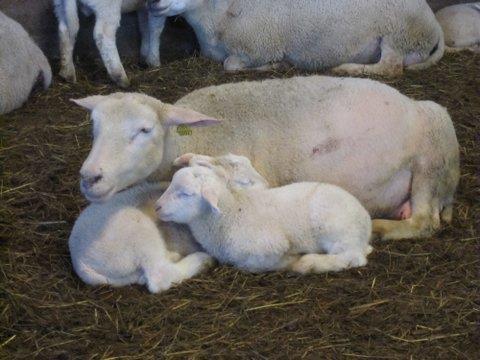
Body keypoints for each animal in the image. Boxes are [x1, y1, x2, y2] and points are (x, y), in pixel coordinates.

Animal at [69, 153, 264, 292]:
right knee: (160, 276)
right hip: (138, 232)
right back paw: (201, 260)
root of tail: (79, 259)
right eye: (245, 182)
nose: (266, 183)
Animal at [148, 0, 444, 76]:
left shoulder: (259, 47)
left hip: (398, 36)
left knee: (390, 68)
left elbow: (230, 65)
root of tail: (435, 25)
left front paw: (279, 65)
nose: (153, 3)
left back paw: (346, 67)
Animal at [156, 162, 374, 274]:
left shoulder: (270, 245)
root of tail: (365, 220)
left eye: (186, 193)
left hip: (334, 228)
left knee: (352, 257)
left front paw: (291, 261)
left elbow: (250, 265)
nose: (157, 207)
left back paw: (309, 263)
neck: (231, 214)